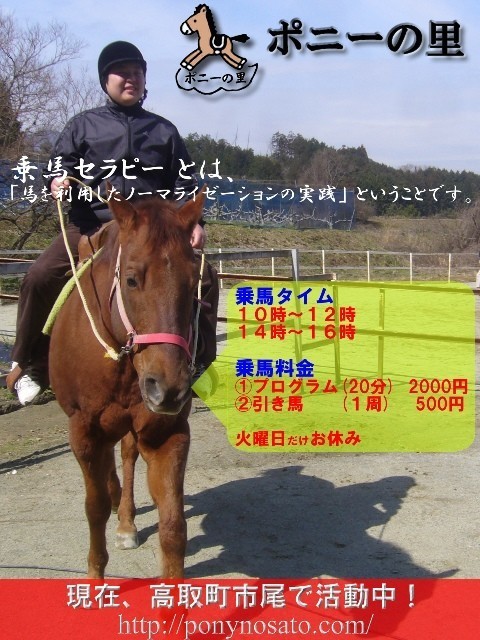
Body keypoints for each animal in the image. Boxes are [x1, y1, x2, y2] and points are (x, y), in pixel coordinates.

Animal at [48, 190, 205, 578]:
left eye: (193, 282)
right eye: (132, 279)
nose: (168, 388)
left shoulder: (167, 433)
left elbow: (173, 525)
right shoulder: (84, 433)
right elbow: (94, 507)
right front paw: (94, 575)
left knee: (128, 457)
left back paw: (126, 521)